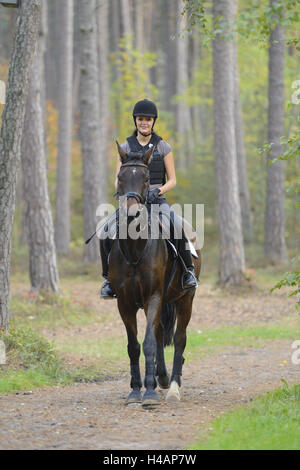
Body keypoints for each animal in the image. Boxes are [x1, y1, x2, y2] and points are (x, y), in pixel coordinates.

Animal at [106, 142, 200, 404]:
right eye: (120, 177)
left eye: (147, 178)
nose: (130, 213)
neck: (135, 247)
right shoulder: (124, 302)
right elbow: (134, 345)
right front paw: (135, 390)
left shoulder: (153, 296)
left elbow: (148, 342)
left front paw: (148, 394)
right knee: (159, 335)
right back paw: (162, 377)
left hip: (185, 299)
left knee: (179, 339)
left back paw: (174, 387)